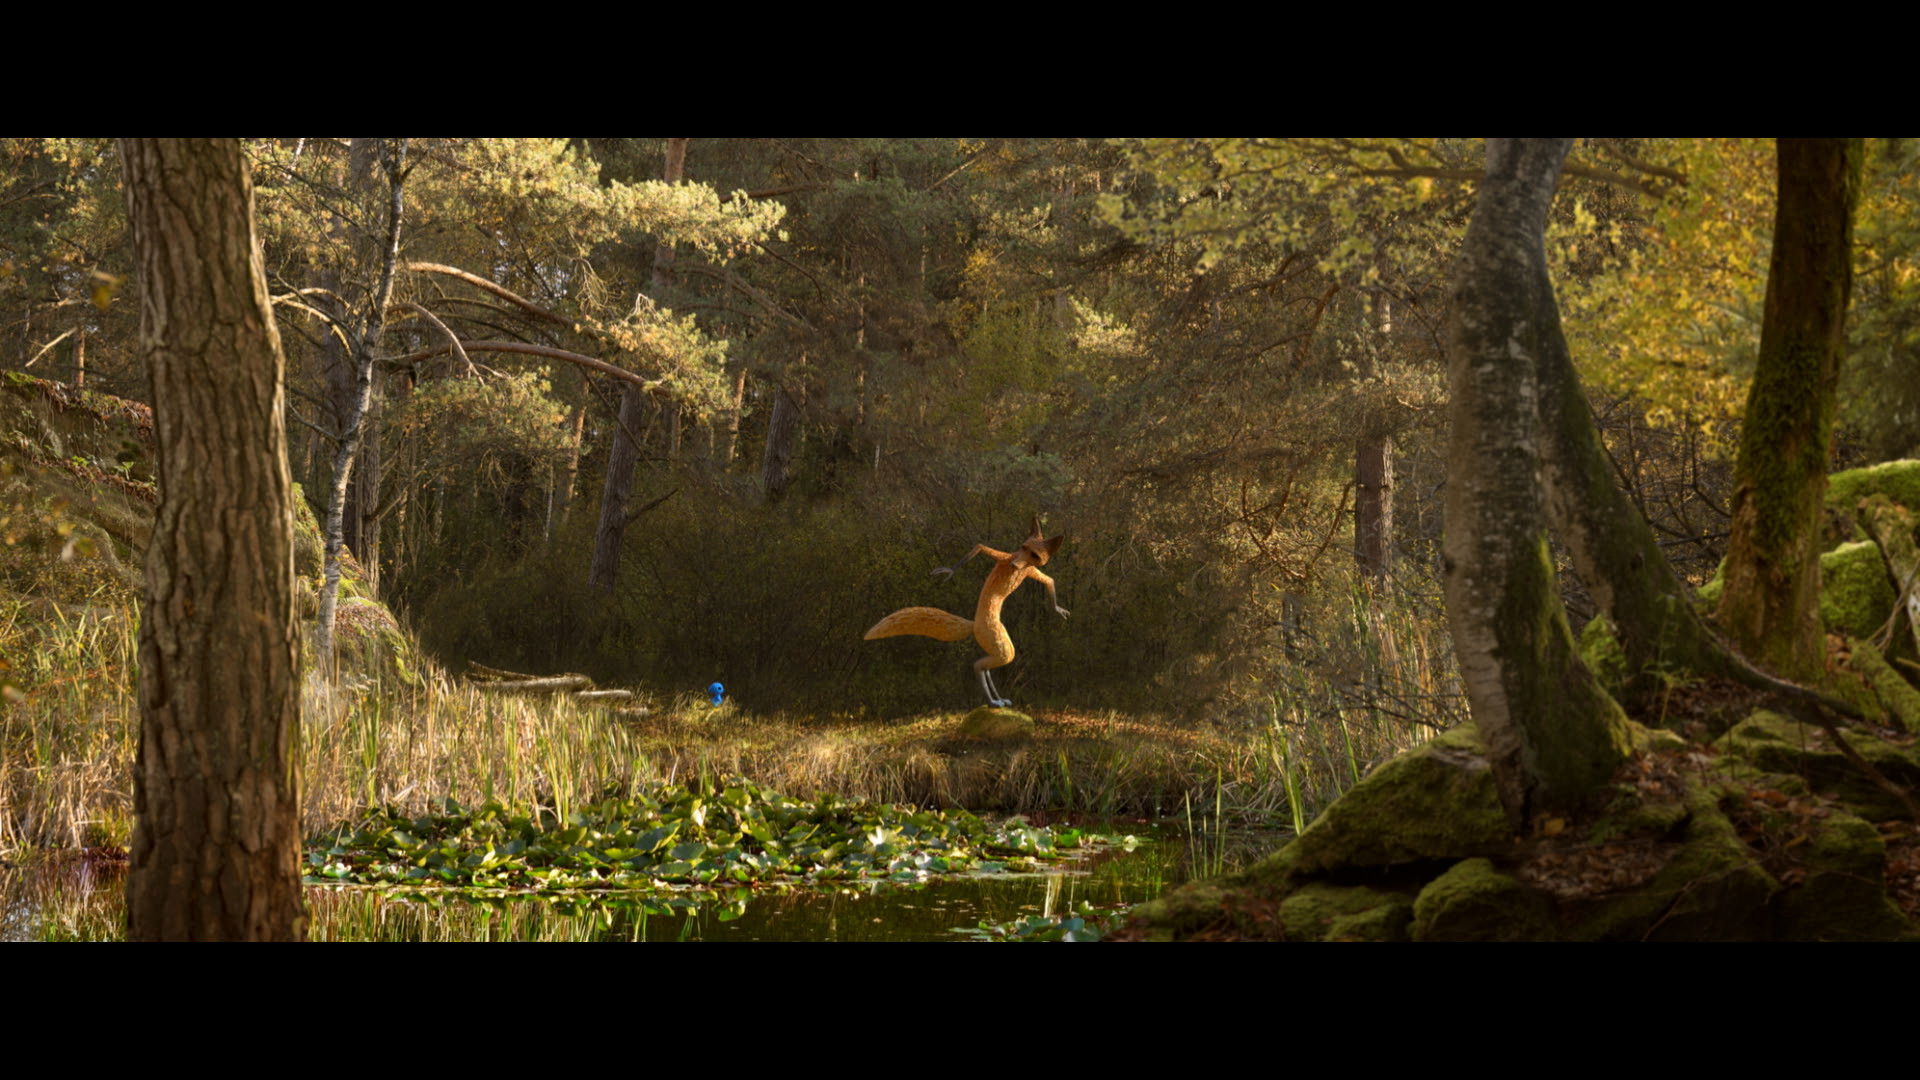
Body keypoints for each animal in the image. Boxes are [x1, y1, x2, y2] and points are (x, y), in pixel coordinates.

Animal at [863, 515, 1069, 708]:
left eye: (1034, 554)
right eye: (1023, 547)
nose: (1015, 564)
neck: (1018, 567)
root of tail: (974, 624)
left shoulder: (1030, 570)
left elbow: (1049, 580)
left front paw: (1058, 609)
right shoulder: (1005, 557)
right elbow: (980, 546)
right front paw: (949, 571)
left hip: (1001, 643)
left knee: (986, 666)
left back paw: (998, 700)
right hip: (1001, 645)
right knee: (979, 665)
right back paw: (993, 702)